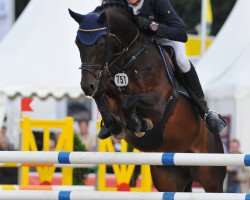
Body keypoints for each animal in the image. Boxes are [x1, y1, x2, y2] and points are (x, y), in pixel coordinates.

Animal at [69, 0, 227, 194]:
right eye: (77, 43)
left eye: (100, 43)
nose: (87, 86)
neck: (128, 58)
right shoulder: (107, 90)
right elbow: (102, 98)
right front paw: (113, 126)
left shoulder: (158, 103)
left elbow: (129, 102)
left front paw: (139, 124)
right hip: (169, 178)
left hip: (211, 177)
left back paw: (212, 119)